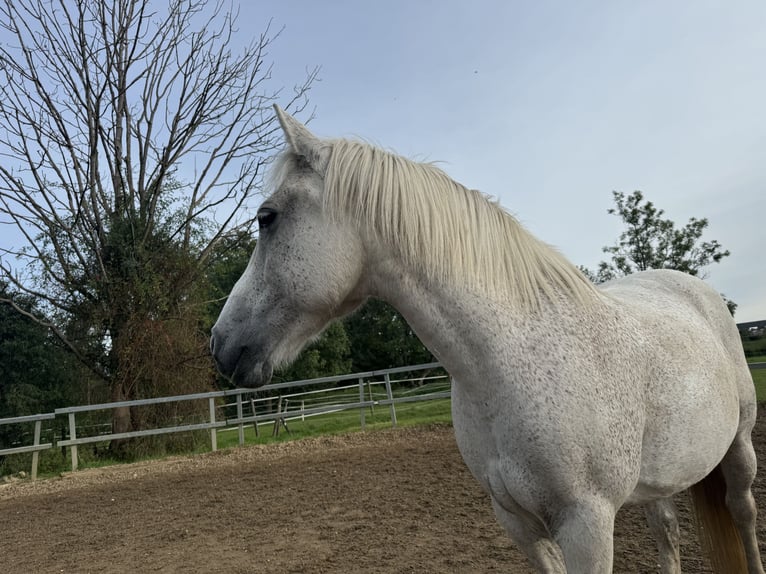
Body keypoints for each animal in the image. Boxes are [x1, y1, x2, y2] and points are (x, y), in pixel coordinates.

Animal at [210, 105, 764, 573]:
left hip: (738, 450)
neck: (510, 361)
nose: (219, 344)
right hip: (659, 483)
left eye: (266, 218)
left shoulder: (588, 524)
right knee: (667, 532)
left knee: (743, 513)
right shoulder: (516, 521)